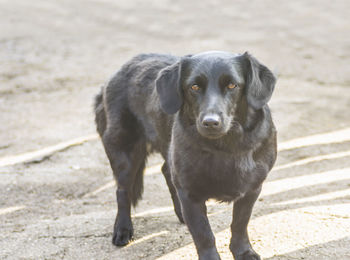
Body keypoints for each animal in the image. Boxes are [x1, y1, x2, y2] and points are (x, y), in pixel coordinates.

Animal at [94, 51, 278, 260]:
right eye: (194, 87)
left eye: (232, 85)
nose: (210, 122)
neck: (226, 146)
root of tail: (118, 72)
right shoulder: (190, 194)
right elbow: (204, 234)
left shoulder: (252, 189)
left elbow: (240, 224)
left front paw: (243, 252)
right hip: (125, 153)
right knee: (122, 191)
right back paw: (123, 229)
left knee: (166, 171)